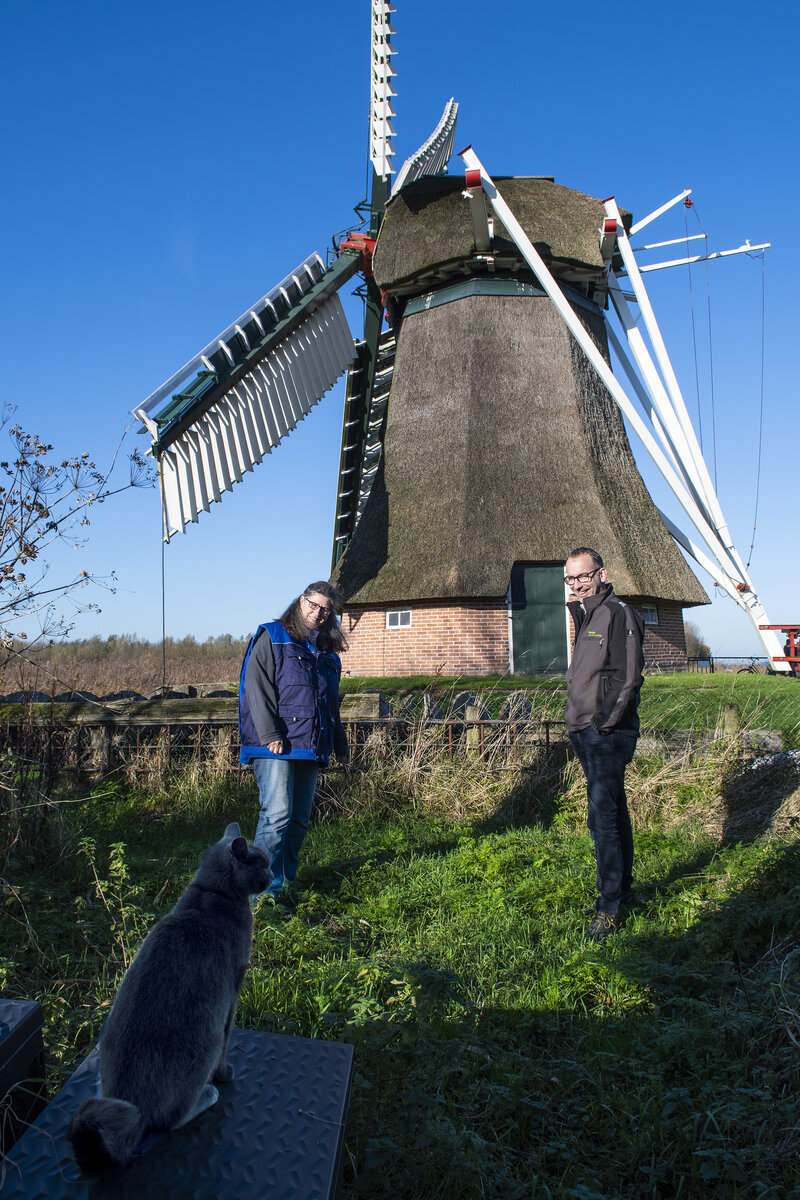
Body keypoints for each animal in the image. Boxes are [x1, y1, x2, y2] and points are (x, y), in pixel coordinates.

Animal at [69, 820, 268, 1176]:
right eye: (264, 863)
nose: (273, 876)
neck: (212, 891)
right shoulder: (234, 989)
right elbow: (229, 1038)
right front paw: (226, 1073)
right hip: (205, 1040)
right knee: (170, 1119)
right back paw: (208, 1094)